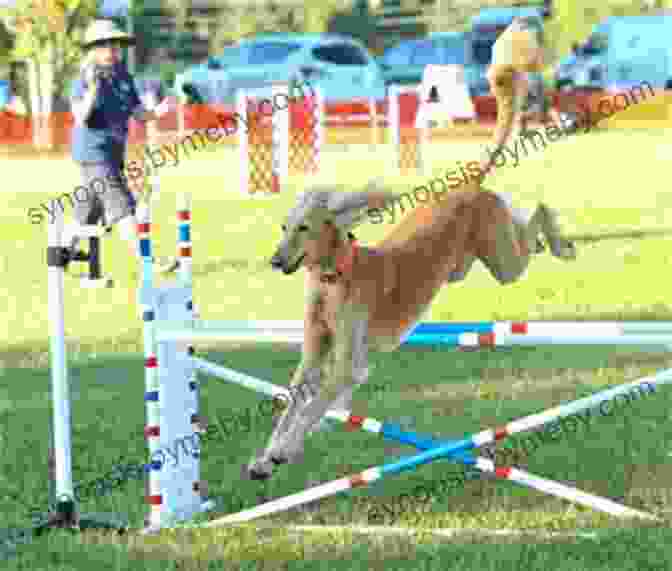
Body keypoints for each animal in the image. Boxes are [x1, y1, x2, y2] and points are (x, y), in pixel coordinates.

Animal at [244, 181, 576, 480]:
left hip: (504, 264)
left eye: (303, 228)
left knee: (538, 212)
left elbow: (311, 409)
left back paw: (561, 245)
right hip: (465, 267)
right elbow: (294, 404)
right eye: (283, 227)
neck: (335, 278)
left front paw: (282, 451)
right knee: (523, 228)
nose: (275, 261)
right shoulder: (314, 353)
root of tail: (471, 187)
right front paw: (265, 459)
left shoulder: (351, 366)